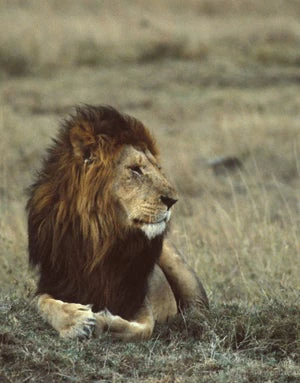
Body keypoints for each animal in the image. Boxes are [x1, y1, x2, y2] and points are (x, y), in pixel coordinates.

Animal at [27, 106, 207, 342]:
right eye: (135, 169)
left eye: (158, 168)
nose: (173, 200)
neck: (98, 238)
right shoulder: (54, 282)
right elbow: (43, 303)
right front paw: (76, 321)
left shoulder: (138, 300)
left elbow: (141, 329)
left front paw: (101, 320)